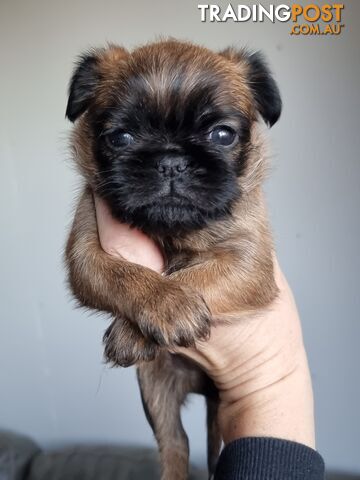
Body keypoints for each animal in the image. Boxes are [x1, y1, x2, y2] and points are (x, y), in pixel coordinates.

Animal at [64, 40, 282, 480]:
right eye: (121, 138)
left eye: (222, 135)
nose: (171, 160)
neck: (172, 230)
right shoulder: (85, 252)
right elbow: (122, 274)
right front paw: (165, 304)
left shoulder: (250, 261)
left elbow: (201, 275)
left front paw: (167, 307)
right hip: (155, 388)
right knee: (175, 444)